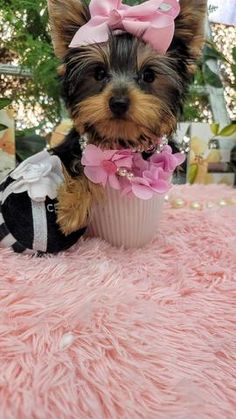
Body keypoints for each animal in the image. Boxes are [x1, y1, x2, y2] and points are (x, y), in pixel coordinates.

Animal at [0, 0, 206, 254]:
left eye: (149, 75)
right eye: (98, 73)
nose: (118, 102)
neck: (119, 140)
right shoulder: (71, 149)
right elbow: (79, 168)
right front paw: (71, 212)